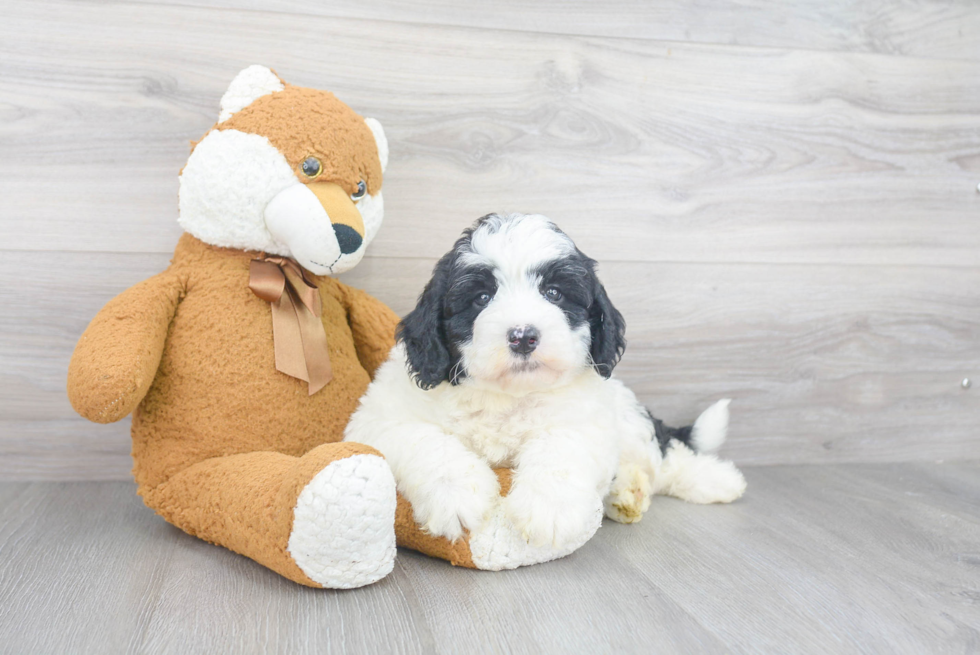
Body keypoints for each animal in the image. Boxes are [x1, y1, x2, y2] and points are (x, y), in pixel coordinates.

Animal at [344, 215, 744, 548]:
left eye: (554, 293)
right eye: (482, 298)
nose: (523, 336)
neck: (507, 396)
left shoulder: (586, 419)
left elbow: (559, 447)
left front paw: (550, 509)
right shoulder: (379, 418)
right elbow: (428, 442)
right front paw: (457, 496)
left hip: (629, 417)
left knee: (663, 457)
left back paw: (714, 480)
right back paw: (629, 492)